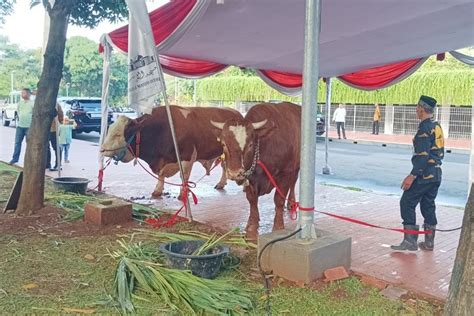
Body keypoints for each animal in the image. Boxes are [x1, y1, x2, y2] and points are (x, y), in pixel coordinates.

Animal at [99, 106, 241, 198]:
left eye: (118, 134)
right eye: (109, 129)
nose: (102, 150)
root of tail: (236, 112)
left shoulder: (187, 156)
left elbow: (184, 176)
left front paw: (183, 193)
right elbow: (161, 175)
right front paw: (157, 190)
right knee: (224, 166)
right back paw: (221, 183)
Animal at [211, 102, 300, 238]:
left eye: (250, 145)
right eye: (224, 144)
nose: (234, 173)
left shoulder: (286, 173)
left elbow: (278, 199)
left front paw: (278, 226)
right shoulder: (249, 177)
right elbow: (252, 200)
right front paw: (252, 224)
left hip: (297, 166)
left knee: (293, 182)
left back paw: (291, 202)